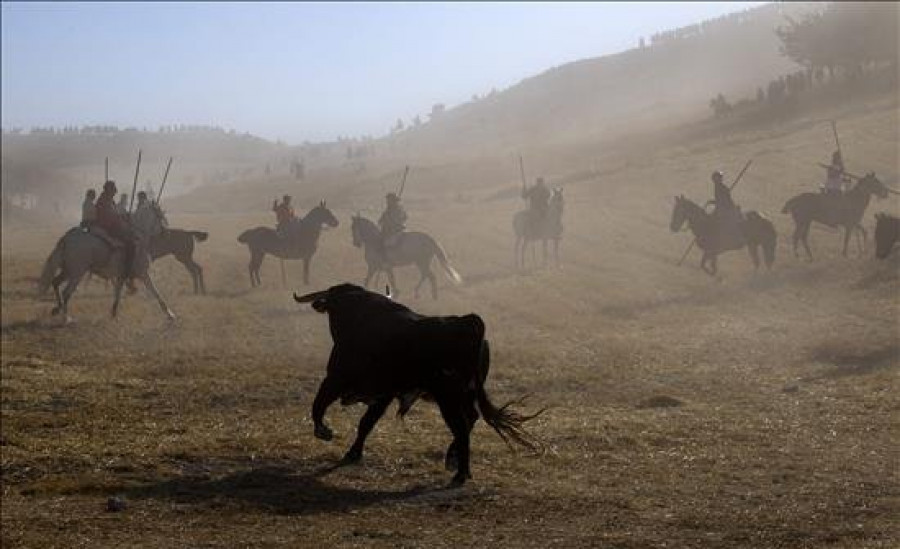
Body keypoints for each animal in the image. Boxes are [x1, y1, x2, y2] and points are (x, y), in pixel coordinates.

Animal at [294, 282, 540, 484]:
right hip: (465, 395)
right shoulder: (384, 394)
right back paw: (452, 458)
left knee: (461, 427)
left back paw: (461, 473)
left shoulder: (334, 379)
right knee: (471, 418)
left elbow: (318, 404)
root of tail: (467, 323)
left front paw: (324, 431)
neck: (358, 313)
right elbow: (366, 423)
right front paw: (353, 453)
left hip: (448, 398)